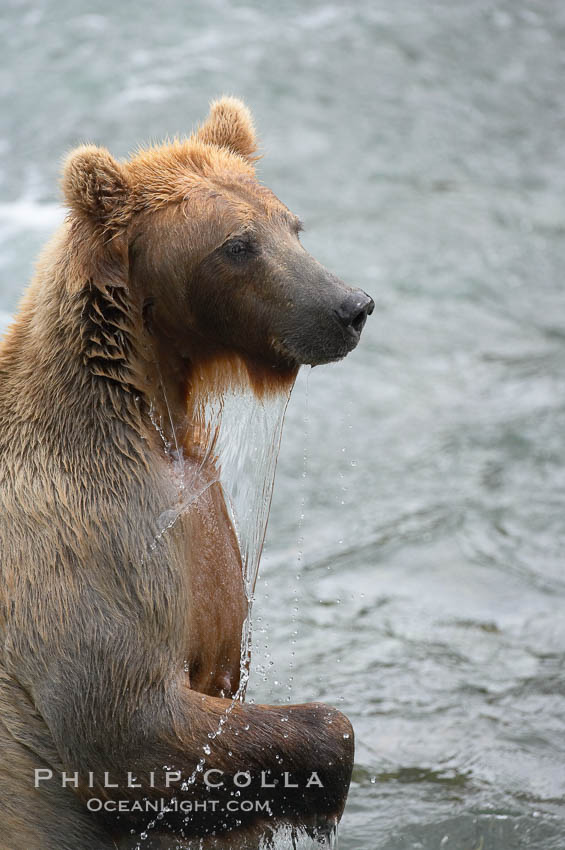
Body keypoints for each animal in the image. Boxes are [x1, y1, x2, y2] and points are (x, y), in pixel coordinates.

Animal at [0, 99, 374, 848]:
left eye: (291, 224)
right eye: (237, 245)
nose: (350, 306)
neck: (149, 407)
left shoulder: (199, 516)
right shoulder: (91, 542)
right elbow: (127, 729)